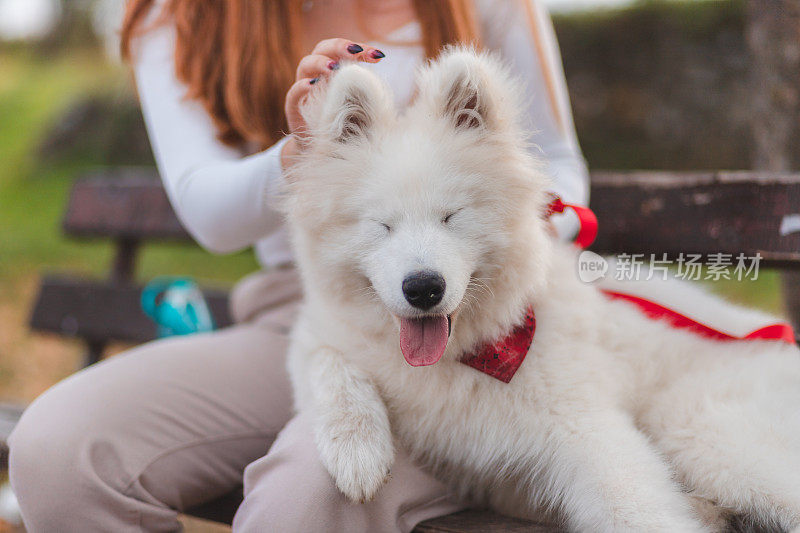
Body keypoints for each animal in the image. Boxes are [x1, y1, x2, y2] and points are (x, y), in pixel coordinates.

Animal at [280, 47, 800, 528]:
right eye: (382, 225)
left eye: (452, 216)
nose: (423, 288)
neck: (462, 353)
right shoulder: (320, 331)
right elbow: (327, 364)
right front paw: (357, 454)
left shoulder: (586, 425)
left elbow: (636, 508)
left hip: (702, 427)